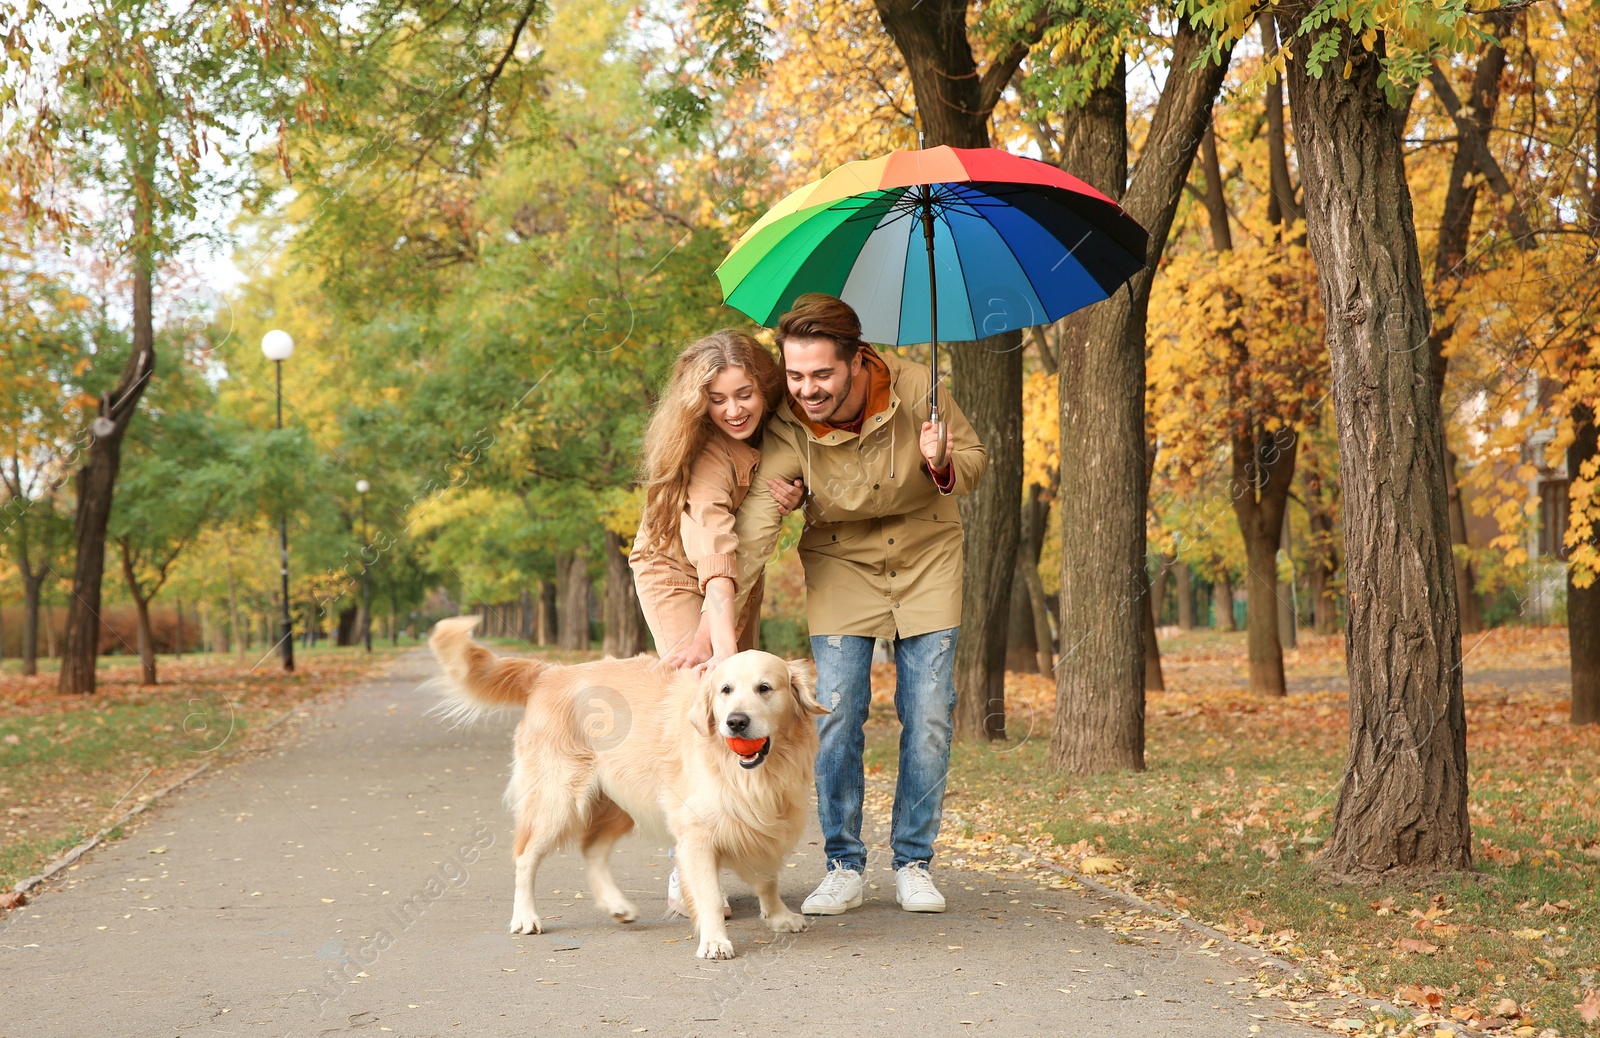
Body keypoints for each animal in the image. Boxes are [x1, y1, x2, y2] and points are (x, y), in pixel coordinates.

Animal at [428, 610, 825, 959]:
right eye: (725, 690)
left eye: (765, 688)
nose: (736, 722)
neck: (751, 775)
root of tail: (549, 673)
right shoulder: (696, 832)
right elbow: (710, 894)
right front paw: (715, 941)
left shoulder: (769, 819)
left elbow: (768, 876)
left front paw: (778, 915)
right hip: (558, 799)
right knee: (525, 856)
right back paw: (525, 916)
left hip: (621, 799)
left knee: (592, 850)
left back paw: (617, 906)